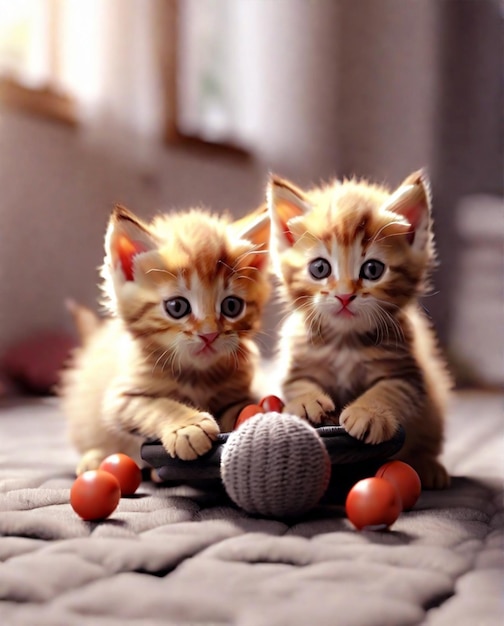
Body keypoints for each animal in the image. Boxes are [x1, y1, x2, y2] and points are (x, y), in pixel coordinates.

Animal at [61, 205, 270, 472]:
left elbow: (242, 406)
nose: (209, 335)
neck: (197, 377)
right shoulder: (120, 398)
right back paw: (95, 459)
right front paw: (188, 426)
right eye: (177, 307)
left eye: (232, 306)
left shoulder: (243, 388)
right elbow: (157, 405)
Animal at [268, 169, 452, 488]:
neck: (345, 341)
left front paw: (368, 413)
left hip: (434, 409)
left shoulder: (406, 372)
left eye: (373, 270)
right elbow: (296, 384)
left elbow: (389, 391)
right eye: (319, 268)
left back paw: (427, 466)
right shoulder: (296, 361)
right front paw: (305, 402)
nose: (344, 295)